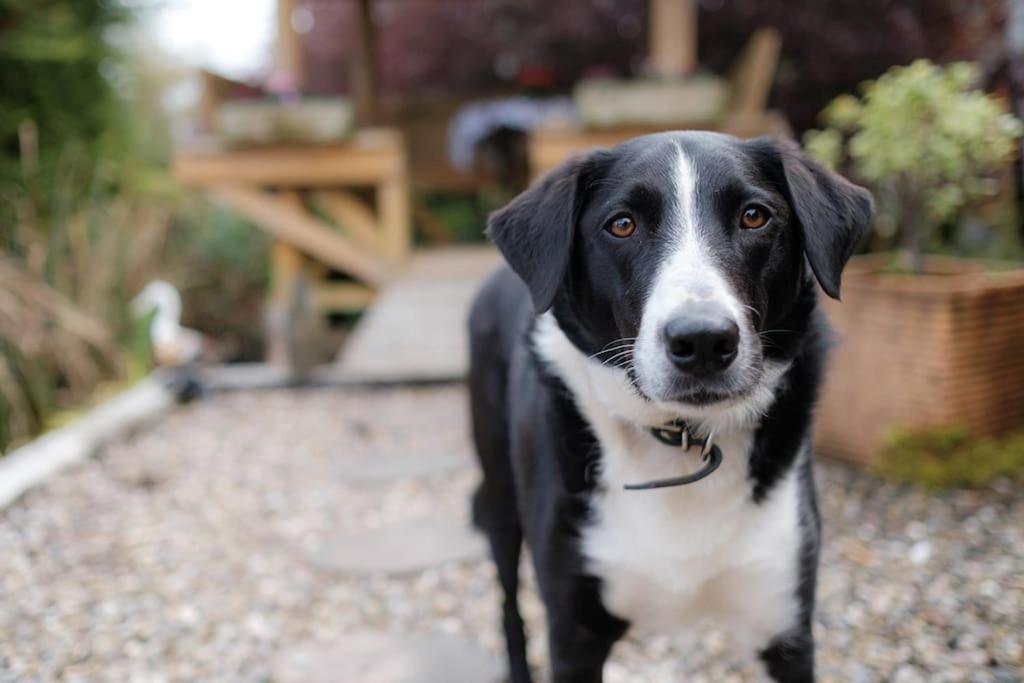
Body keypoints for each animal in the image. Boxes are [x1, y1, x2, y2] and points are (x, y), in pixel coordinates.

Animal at [466, 131, 872, 679]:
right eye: (622, 225)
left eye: (754, 216)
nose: (702, 340)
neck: (682, 435)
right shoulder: (574, 632)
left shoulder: (785, 627)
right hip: (501, 497)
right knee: (509, 606)